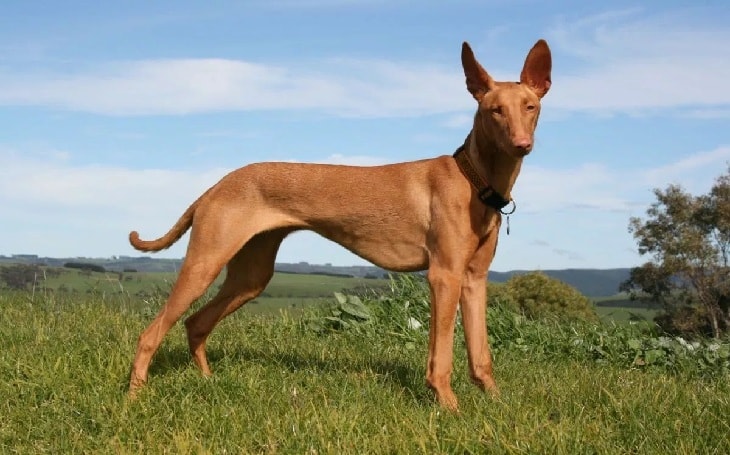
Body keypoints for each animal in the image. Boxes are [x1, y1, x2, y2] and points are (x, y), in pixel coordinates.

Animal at [129, 39, 552, 412]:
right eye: (494, 110)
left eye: (530, 106)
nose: (522, 144)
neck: (473, 179)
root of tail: (216, 185)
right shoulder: (444, 276)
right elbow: (441, 357)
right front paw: (449, 406)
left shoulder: (474, 279)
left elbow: (481, 354)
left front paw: (496, 402)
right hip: (204, 264)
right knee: (151, 333)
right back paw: (134, 397)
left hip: (250, 276)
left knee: (195, 323)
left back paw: (208, 382)